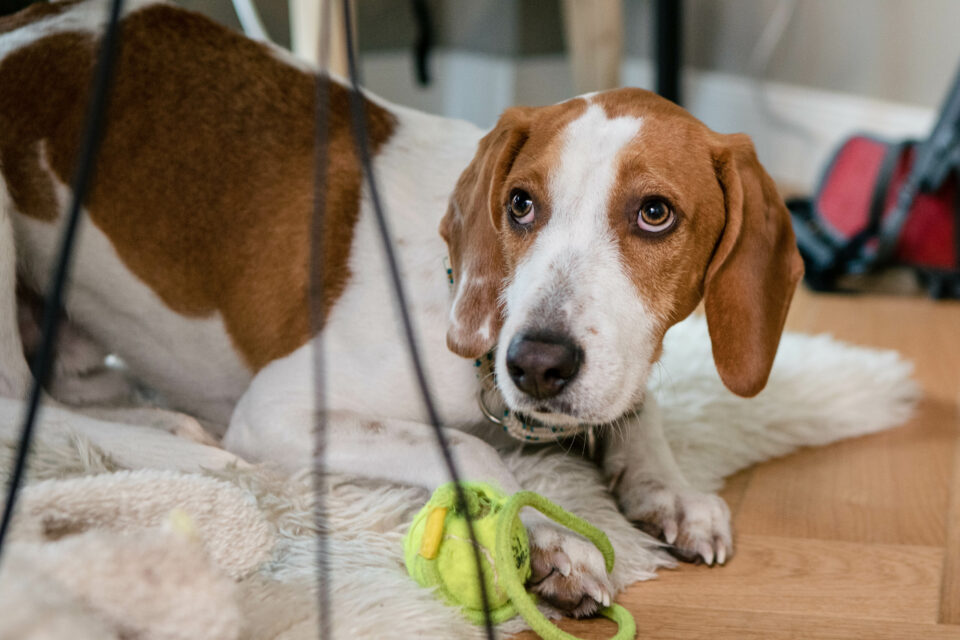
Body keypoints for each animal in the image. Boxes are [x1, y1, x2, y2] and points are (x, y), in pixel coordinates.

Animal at [0, 1, 808, 620]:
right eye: (521, 204)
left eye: (655, 214)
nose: (536, 364)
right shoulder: (278, 409)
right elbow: (468, 450)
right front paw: (543, 535)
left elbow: (637, 410)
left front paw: (669, 488)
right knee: (21, 403)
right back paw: (175, 442)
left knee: (73, 390)